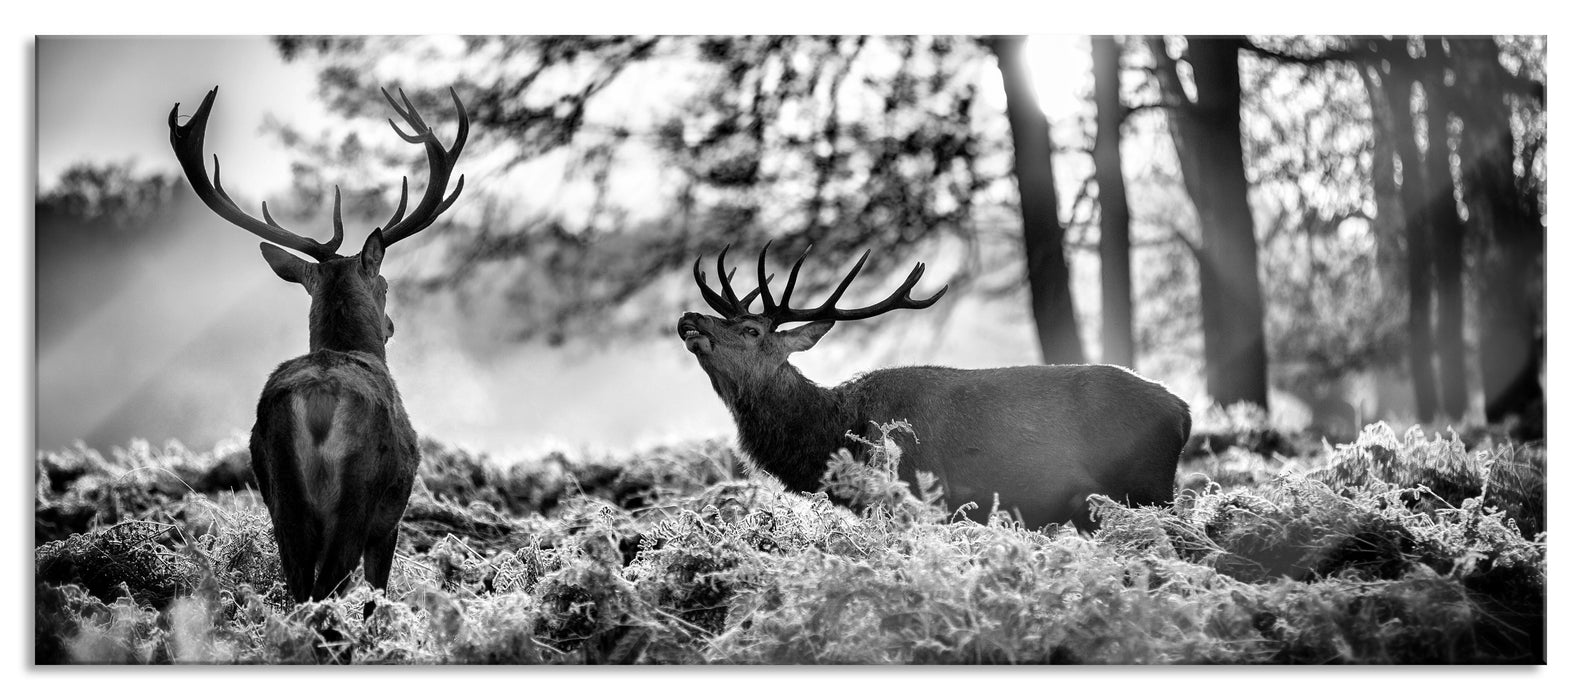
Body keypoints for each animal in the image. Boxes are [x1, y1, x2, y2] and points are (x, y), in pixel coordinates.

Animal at [174, 86, 468, 601]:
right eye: (385, 284)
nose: (391, 325)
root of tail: (317, 403)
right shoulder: (390, 521)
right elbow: (376, 594)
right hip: (358, 495)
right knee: (328, 584)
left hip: (280, 493)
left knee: (297, 587)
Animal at [680, 245, 1189, 528]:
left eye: (751, 330)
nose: (690, 318)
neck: (836, 431)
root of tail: (1183, 412)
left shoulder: (918, 490)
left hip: (1146, 487)